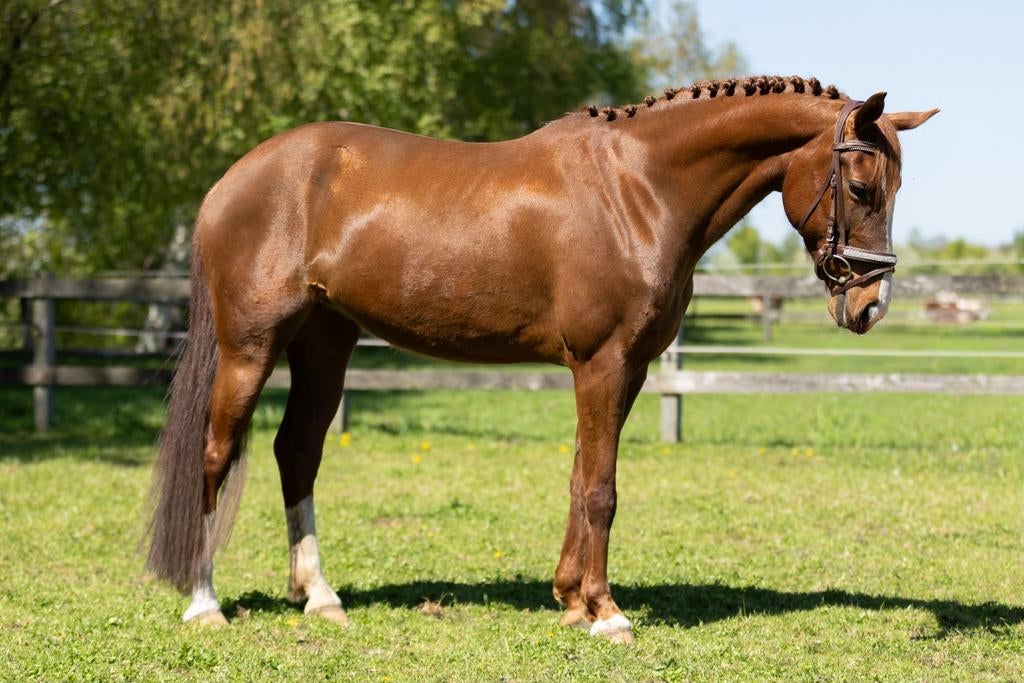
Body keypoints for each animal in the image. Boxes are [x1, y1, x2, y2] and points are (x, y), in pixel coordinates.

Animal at [144, 75, 936, 643]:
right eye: (861, 186)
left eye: (897, 187)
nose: (870, 306)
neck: (639, 188)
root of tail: (231, 182)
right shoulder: (602, 363)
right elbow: (602, 488)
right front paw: (607, 613)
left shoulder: (626, 368)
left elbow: (581, 476)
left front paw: (570, 599)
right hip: (250, 346)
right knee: (215, 452)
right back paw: (204, 603)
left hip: (324, 343)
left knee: (297, 451)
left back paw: (320, 597)